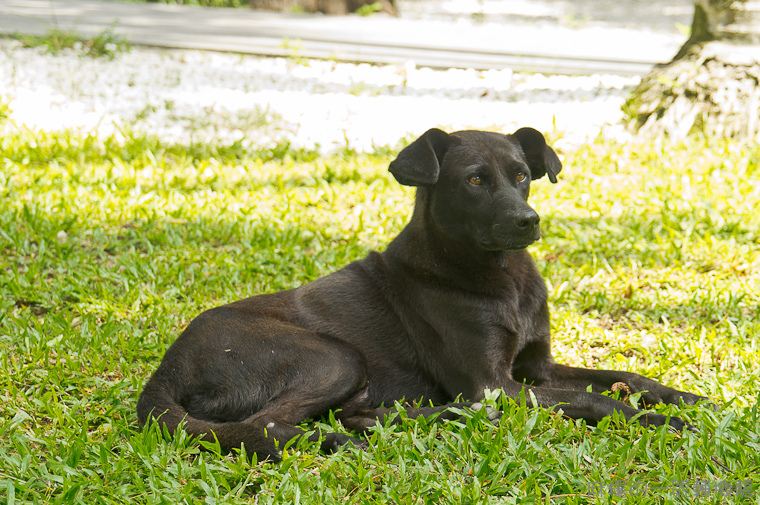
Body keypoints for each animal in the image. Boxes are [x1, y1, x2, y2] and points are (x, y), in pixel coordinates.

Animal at [135, 127, 708, 460]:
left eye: (523, 175)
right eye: (475, 180)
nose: (529, 221)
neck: (502, 279)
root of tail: (165, 372)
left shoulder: (536, 370)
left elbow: (617, 376)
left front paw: (681, 396)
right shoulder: (495, 384)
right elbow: (592, 399)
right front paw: (661, 421)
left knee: (355, 413)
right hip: (333, 356)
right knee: (267, 424)